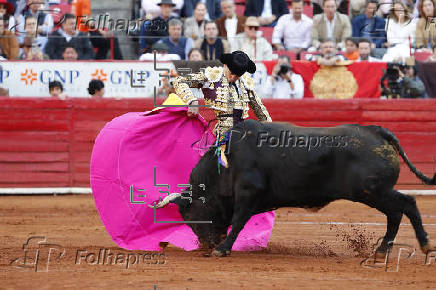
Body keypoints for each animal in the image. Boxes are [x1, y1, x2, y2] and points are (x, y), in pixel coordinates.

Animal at [152, 119, 434, 256]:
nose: (206, 245)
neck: (226, 163)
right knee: (396, 212)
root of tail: (376, 131)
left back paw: (423, 244)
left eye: (189, 215)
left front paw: (223, 249)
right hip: (374, 194)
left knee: (407, 204)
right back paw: (383, 249)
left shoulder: (248, 193)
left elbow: (238, 221)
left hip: (373, 191)